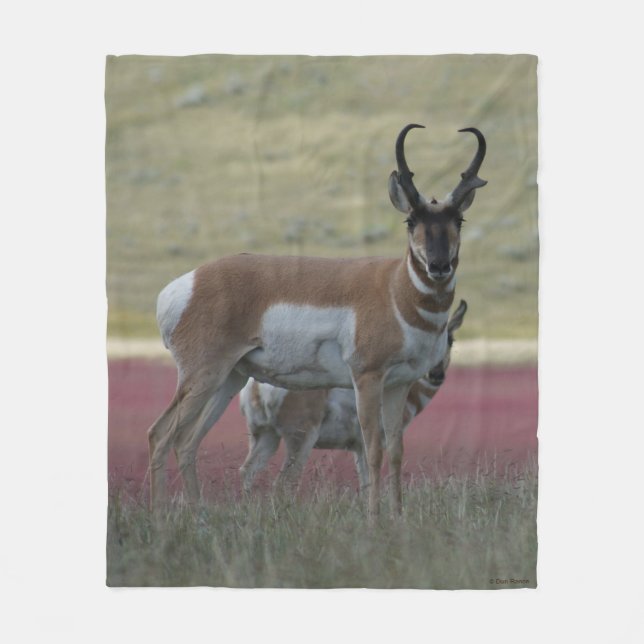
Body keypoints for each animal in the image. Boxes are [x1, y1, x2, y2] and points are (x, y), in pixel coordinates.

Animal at [239, 300, 467, 492]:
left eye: (451, 340)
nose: (436, 374)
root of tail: (257, 388)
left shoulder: (358, 447)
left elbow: (365, 485)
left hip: (265, 436)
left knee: (246, 473)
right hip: (300, 438)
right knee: (284, 482)